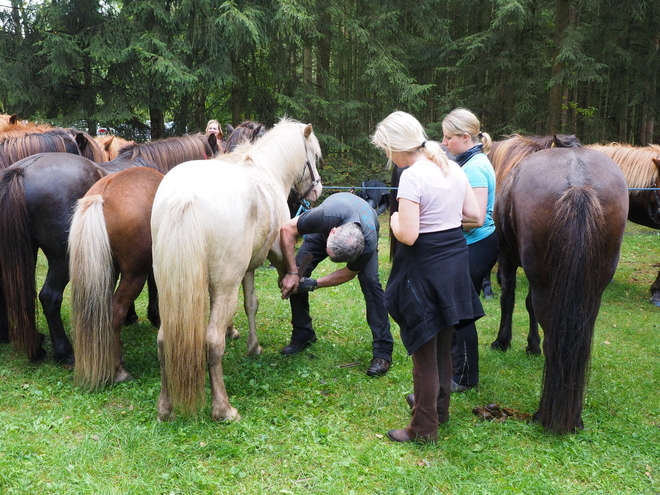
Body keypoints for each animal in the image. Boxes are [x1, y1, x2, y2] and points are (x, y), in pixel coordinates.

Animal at [0, 132, 219, 364]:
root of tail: (23, 170)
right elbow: (152, 282)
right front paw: (154, 316)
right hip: (63, 259)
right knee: (49, 297)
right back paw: (63, 351)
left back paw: (32, 345)